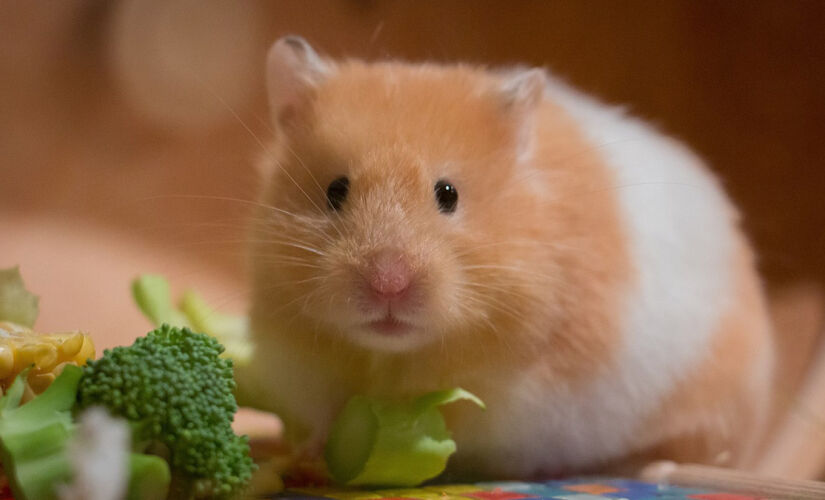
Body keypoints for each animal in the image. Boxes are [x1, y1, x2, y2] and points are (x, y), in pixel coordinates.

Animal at [237, 37, 772, 478]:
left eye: (447, 194)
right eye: (335, 190)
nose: (388, 284)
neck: (394, 356)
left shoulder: (533, 398)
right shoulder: (302, 364)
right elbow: (326, 414)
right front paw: (313, 453)